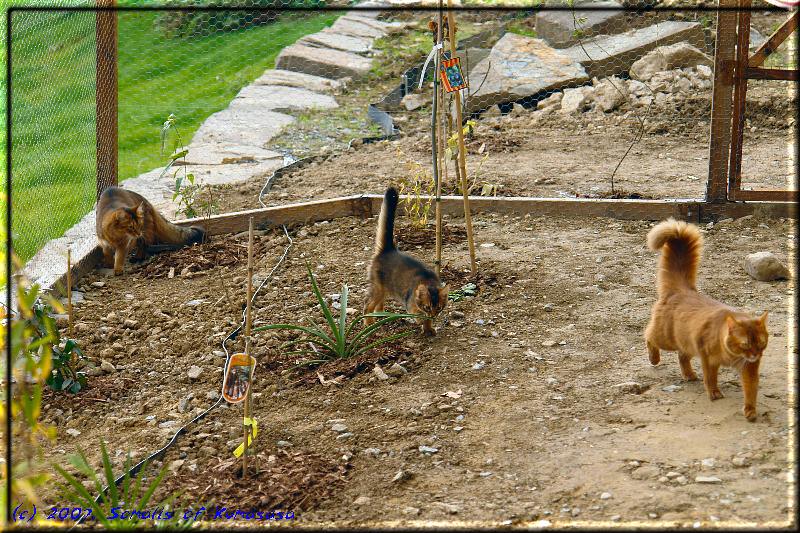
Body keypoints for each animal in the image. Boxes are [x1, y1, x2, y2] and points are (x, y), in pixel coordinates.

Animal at [364, 188, 446, 336]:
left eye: (438, 308)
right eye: (427, 307)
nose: (433, 315)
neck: (429, 281)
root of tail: (389, 249)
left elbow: (427, 322)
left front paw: (428, 328)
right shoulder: (410, 303)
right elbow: (417, 313)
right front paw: (422, 321)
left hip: (385, 288)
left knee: (378, 304)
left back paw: (380, 315)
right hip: (378, 287)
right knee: (367, 305)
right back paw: (369, 323)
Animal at [644, 218, 768, 422]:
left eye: (761, 344)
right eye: (745, 344)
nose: (755, 355)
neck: (732, 356)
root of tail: (683, 290)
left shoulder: (748, 368)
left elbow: (751, 390)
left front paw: (750, 411)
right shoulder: (708, 359)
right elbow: (710, 378)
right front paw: (714, 393)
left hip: (686, 342)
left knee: (681, 356)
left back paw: (688, 374)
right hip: (666, 339)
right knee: (648, 336)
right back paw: (654, 359)